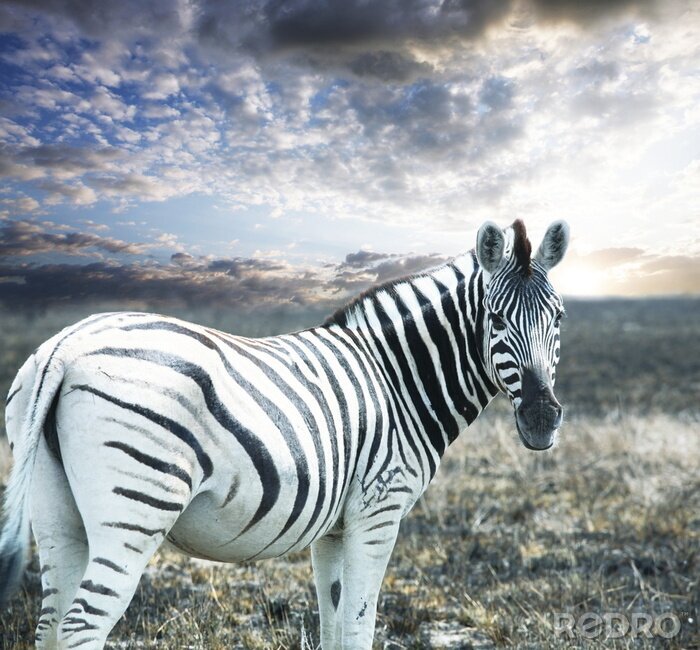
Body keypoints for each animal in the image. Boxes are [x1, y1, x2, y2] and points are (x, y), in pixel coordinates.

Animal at [0, 218, 569, 649]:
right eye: (495, 318)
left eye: (559, 318)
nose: (542, 418)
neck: (396, 378)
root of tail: (67, 345)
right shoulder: (379, 510)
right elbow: (359, 626)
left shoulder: (335, 529)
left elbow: (334, 625)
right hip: (136, 508)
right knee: (81, 626)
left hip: (56, 514)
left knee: (50, 625)